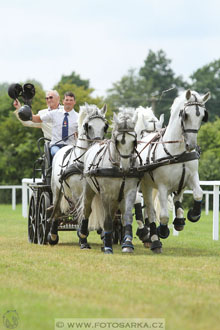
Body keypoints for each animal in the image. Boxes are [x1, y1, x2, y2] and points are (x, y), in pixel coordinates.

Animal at [47, 103, 108, 245]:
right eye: (88, 126)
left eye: (105, 126)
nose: (98, 144)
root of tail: (63, 147)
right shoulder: (76, 191)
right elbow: (81, 211)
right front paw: (83, 238)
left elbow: (91, 210)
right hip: (56, 189)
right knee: (56, 209)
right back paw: (52, 235)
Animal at [77, 109, 139, 254]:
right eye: (118, 141)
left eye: (134, 140)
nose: (126, 167)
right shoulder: (105, 194)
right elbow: (107, 220)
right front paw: (107, 247)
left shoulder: (130, 192)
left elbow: (127, 217)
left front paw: (127, 244)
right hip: (89, 190)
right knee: (87, 211)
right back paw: (83, 239)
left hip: (117, 198)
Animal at [138, 88, 210, 253]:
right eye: (185, 114)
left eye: (202, 116)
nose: (191, 145)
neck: (177, 151)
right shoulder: (162, 186)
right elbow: (163, 215)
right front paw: (162, 231)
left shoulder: (191, 177)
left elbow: (198, 194)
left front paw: (193, 215)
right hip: (146, 185)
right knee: (150, 210)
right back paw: (153, 239)